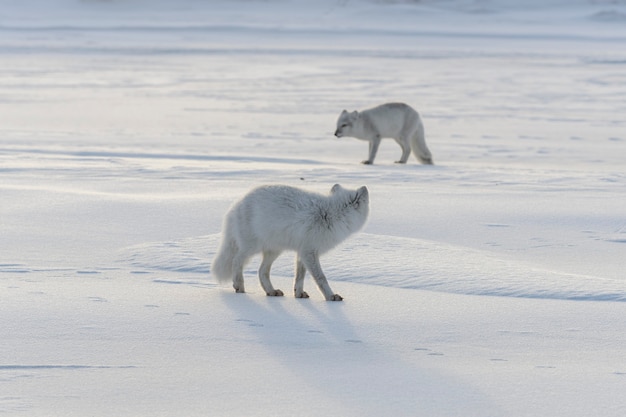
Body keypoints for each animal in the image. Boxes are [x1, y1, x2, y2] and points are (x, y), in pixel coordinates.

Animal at [211, 184, 366, 300]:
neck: (332, 214)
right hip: (251, 247)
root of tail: (236, 205)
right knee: (236, 261)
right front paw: (330, 296)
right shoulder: (309, 252)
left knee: (262, 271)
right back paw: (239, 286)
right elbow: (321, 278)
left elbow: (299, 277)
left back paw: (271, 291)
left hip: (274, 250)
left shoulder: (302, 253)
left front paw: (299, 294)